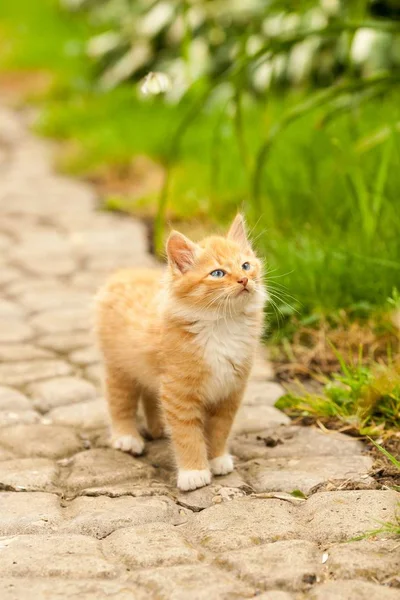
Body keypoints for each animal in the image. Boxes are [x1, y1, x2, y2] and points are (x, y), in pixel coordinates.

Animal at [95, 213, 268, 490]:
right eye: (218, 273)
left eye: (245, 266)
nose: (244, 280)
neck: (222, 324)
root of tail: (125, 273)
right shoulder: (179, 392)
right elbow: (188, 435)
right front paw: (194, 472)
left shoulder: (230, 389)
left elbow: (220, 429)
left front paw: (217, 458)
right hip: (119, 367)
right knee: (119, 401)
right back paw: (126, 437)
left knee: (149, 395)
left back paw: (158, 427)